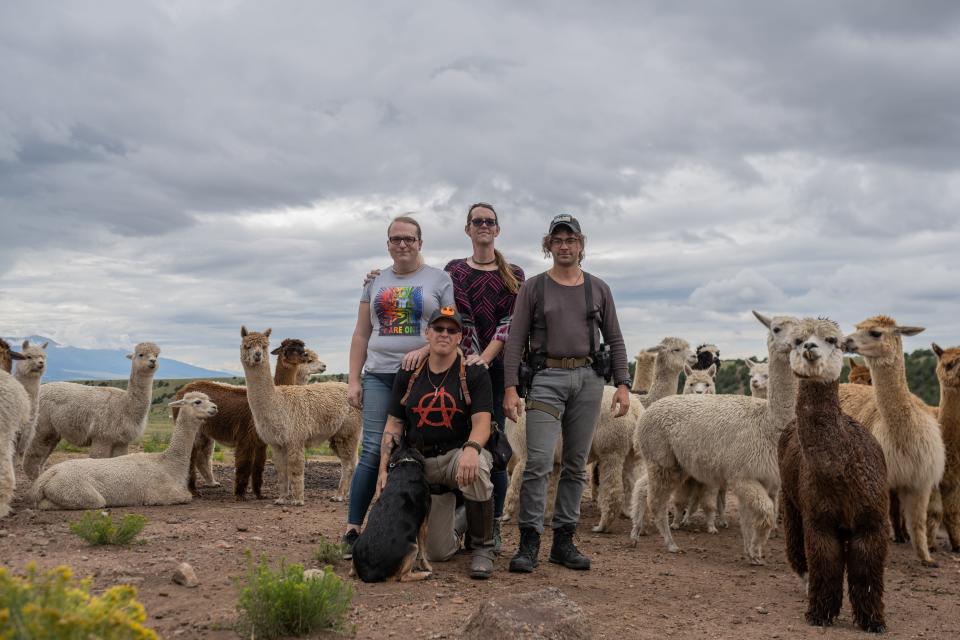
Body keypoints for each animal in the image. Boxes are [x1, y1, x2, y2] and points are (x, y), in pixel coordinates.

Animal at [352, 448, 432, 584]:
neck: (406, 462)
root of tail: (369, 571)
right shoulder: (424, 524)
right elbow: (424, 550)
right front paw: (427, 566)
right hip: (412, 547)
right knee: (403, 577)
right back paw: (424, 575)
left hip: (355, 547)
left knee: (351, 572)